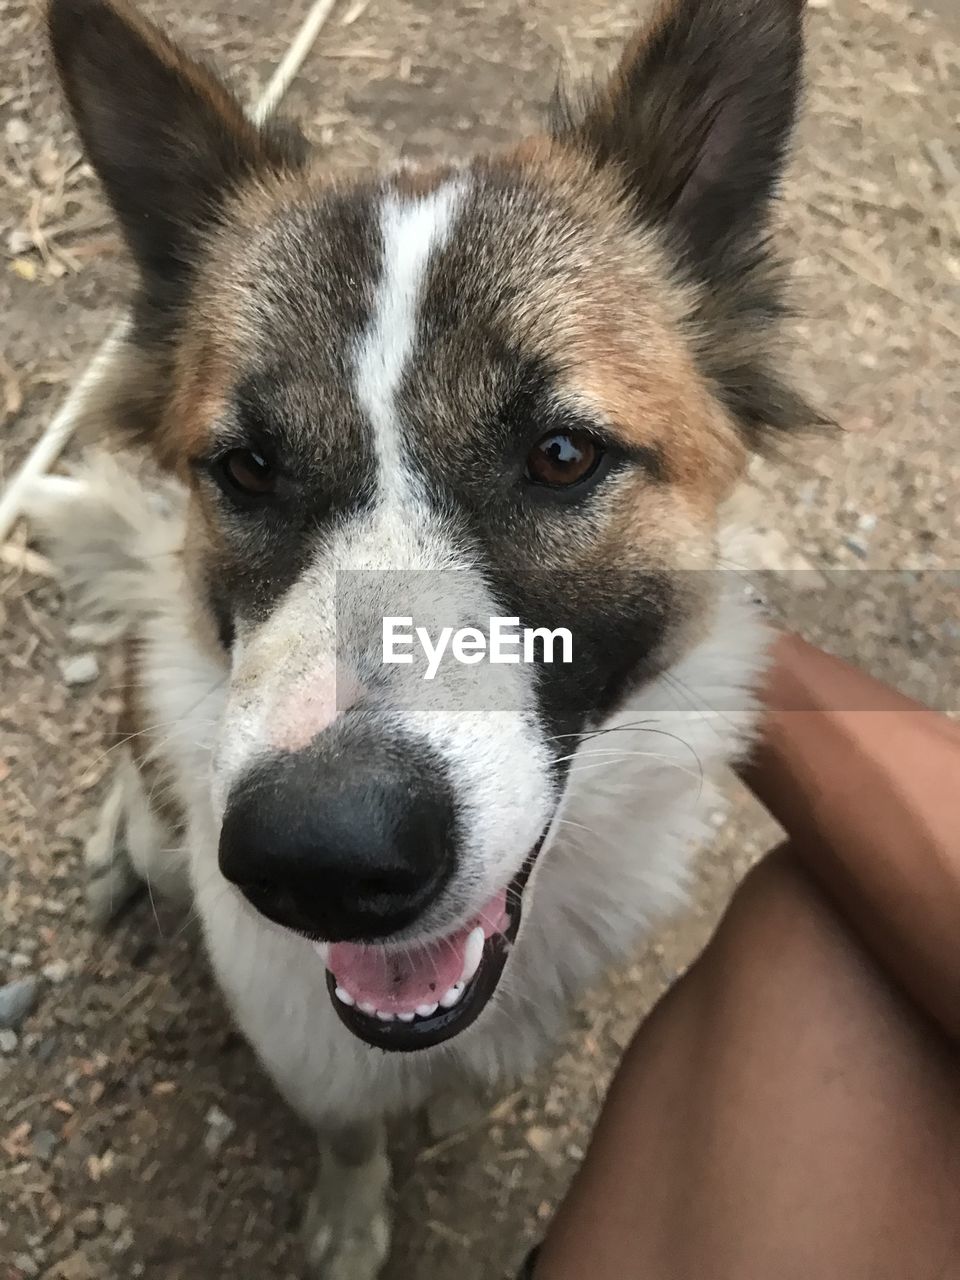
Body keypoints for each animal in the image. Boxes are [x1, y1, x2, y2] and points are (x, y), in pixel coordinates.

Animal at [35, 0, 819, 1269]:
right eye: (247, 467)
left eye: (563, 454)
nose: (322, 858)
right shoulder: (309, 1047)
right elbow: (350, 1131)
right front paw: (351, 1217)